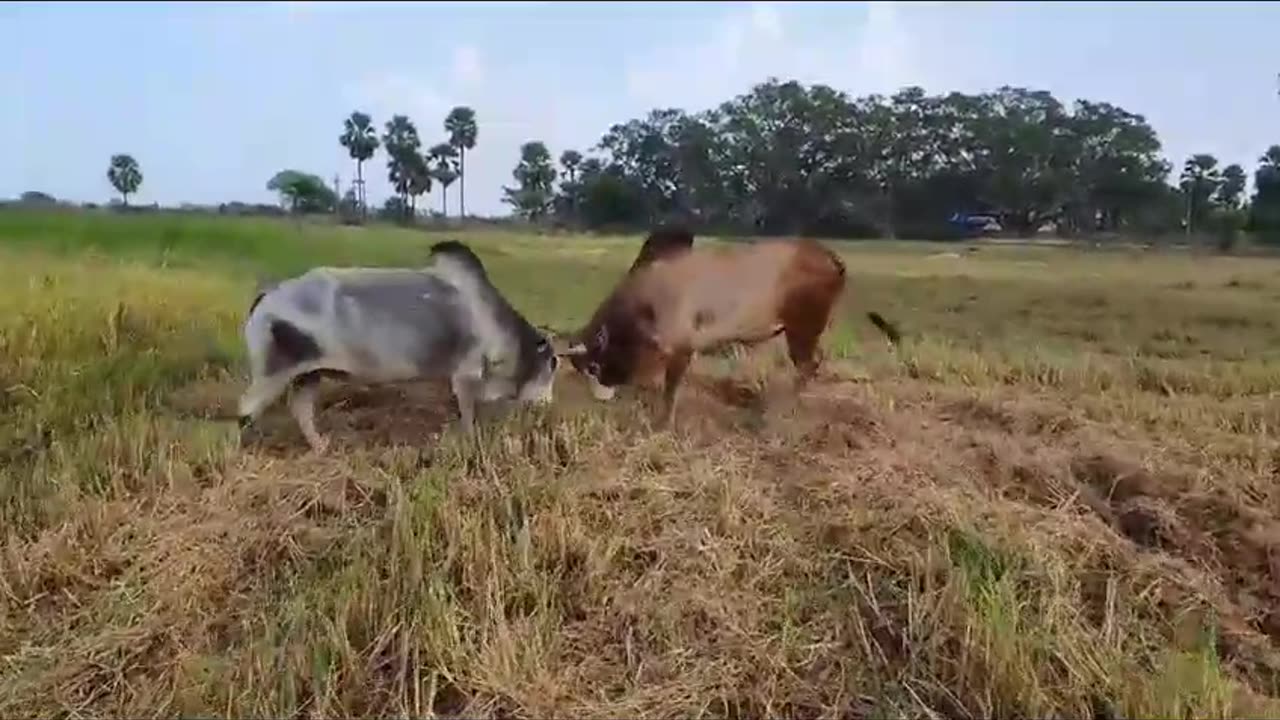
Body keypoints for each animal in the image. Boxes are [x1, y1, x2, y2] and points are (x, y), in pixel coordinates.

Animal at [236, 240, 559, 453]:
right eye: (552, 366)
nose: (548, 405)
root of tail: (268, 296)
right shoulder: (466, 374)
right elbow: (469, 414)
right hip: (272, 374)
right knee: (245, 411)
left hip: (309, 373)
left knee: (300, 409)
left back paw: (320, 446)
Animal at [561, 231, 900, 427]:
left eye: (593, 366)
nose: (600, 398)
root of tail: (831, 257)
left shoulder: (681, 346)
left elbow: (670, 390)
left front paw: (662, 425)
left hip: (803, 327)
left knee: (809, 364)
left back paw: (782, 410)